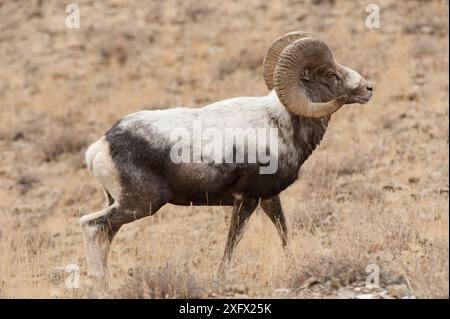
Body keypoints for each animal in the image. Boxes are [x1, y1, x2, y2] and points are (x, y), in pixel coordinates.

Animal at [80, 31, 372, 278]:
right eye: (330, 73)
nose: (368, 89)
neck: (280, 124)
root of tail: (101, 146)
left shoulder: (269, 198)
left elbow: (284, 233)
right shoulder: (246, 200)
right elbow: (232, 243)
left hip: (123, 206)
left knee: (105, 234)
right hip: (140, 205)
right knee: (91, 226)